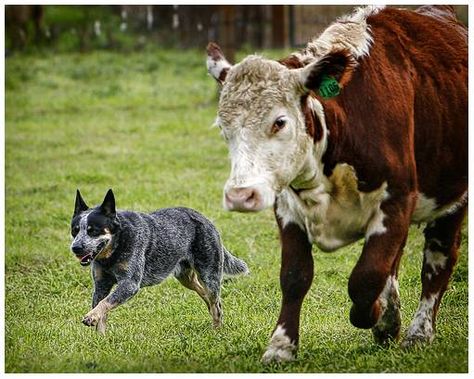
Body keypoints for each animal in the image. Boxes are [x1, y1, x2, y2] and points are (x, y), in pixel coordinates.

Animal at [71, 189, 248, 334]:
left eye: (93, 230)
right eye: (74, 231)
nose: (75, 247)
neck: (113, 251)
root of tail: (205, 219)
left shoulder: (129, 284)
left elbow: (104, 303)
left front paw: (91, 317)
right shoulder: (101, 284)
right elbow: (102, 308)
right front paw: (101, 339)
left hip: (209, 273)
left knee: (216, 304)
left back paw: (216, 331)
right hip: (185, 277)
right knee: (208, 296)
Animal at [206, 4, 468, 364]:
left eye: (279, 122)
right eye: (223, 128)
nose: (240, 195)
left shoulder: (397, 199)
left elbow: (366, 277)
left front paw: (374, 314)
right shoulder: (287, 209)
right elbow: (295, 276)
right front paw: (281, 345)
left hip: (452, 199)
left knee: (439, 259)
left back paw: (418, 332)